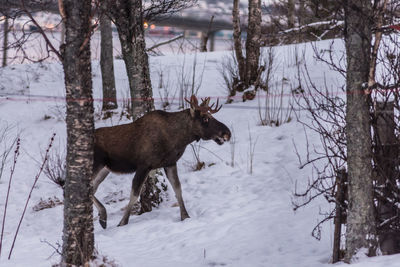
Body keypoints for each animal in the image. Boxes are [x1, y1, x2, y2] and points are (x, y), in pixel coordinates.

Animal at [93, 95, 231, 229]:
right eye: (205, 118)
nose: (227, 133)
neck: (178, 140)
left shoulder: (170, 163)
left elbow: (178, 189)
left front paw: (185, 216)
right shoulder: (144, 165)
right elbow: (134, 195)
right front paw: (122, 223)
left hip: (104, 169)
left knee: (92, 189)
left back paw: (103, 218)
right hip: (96, 165)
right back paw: (103, 216)